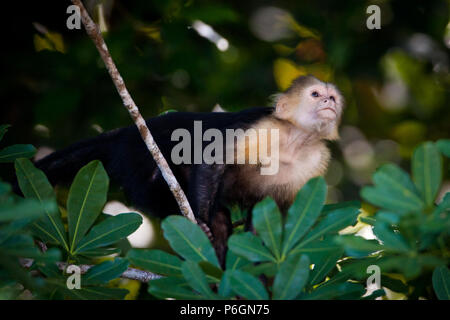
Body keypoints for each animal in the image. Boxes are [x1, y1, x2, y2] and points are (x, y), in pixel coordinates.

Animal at [26, 75, 342, 264]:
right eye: (315, 94)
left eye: (333, 98)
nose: (328, 102)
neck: (295, 138)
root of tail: (128, 132)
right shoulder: (264, 127)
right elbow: (214, 159)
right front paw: (200, 220)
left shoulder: (316, 159)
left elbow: (274, 212)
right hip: (138, 160)